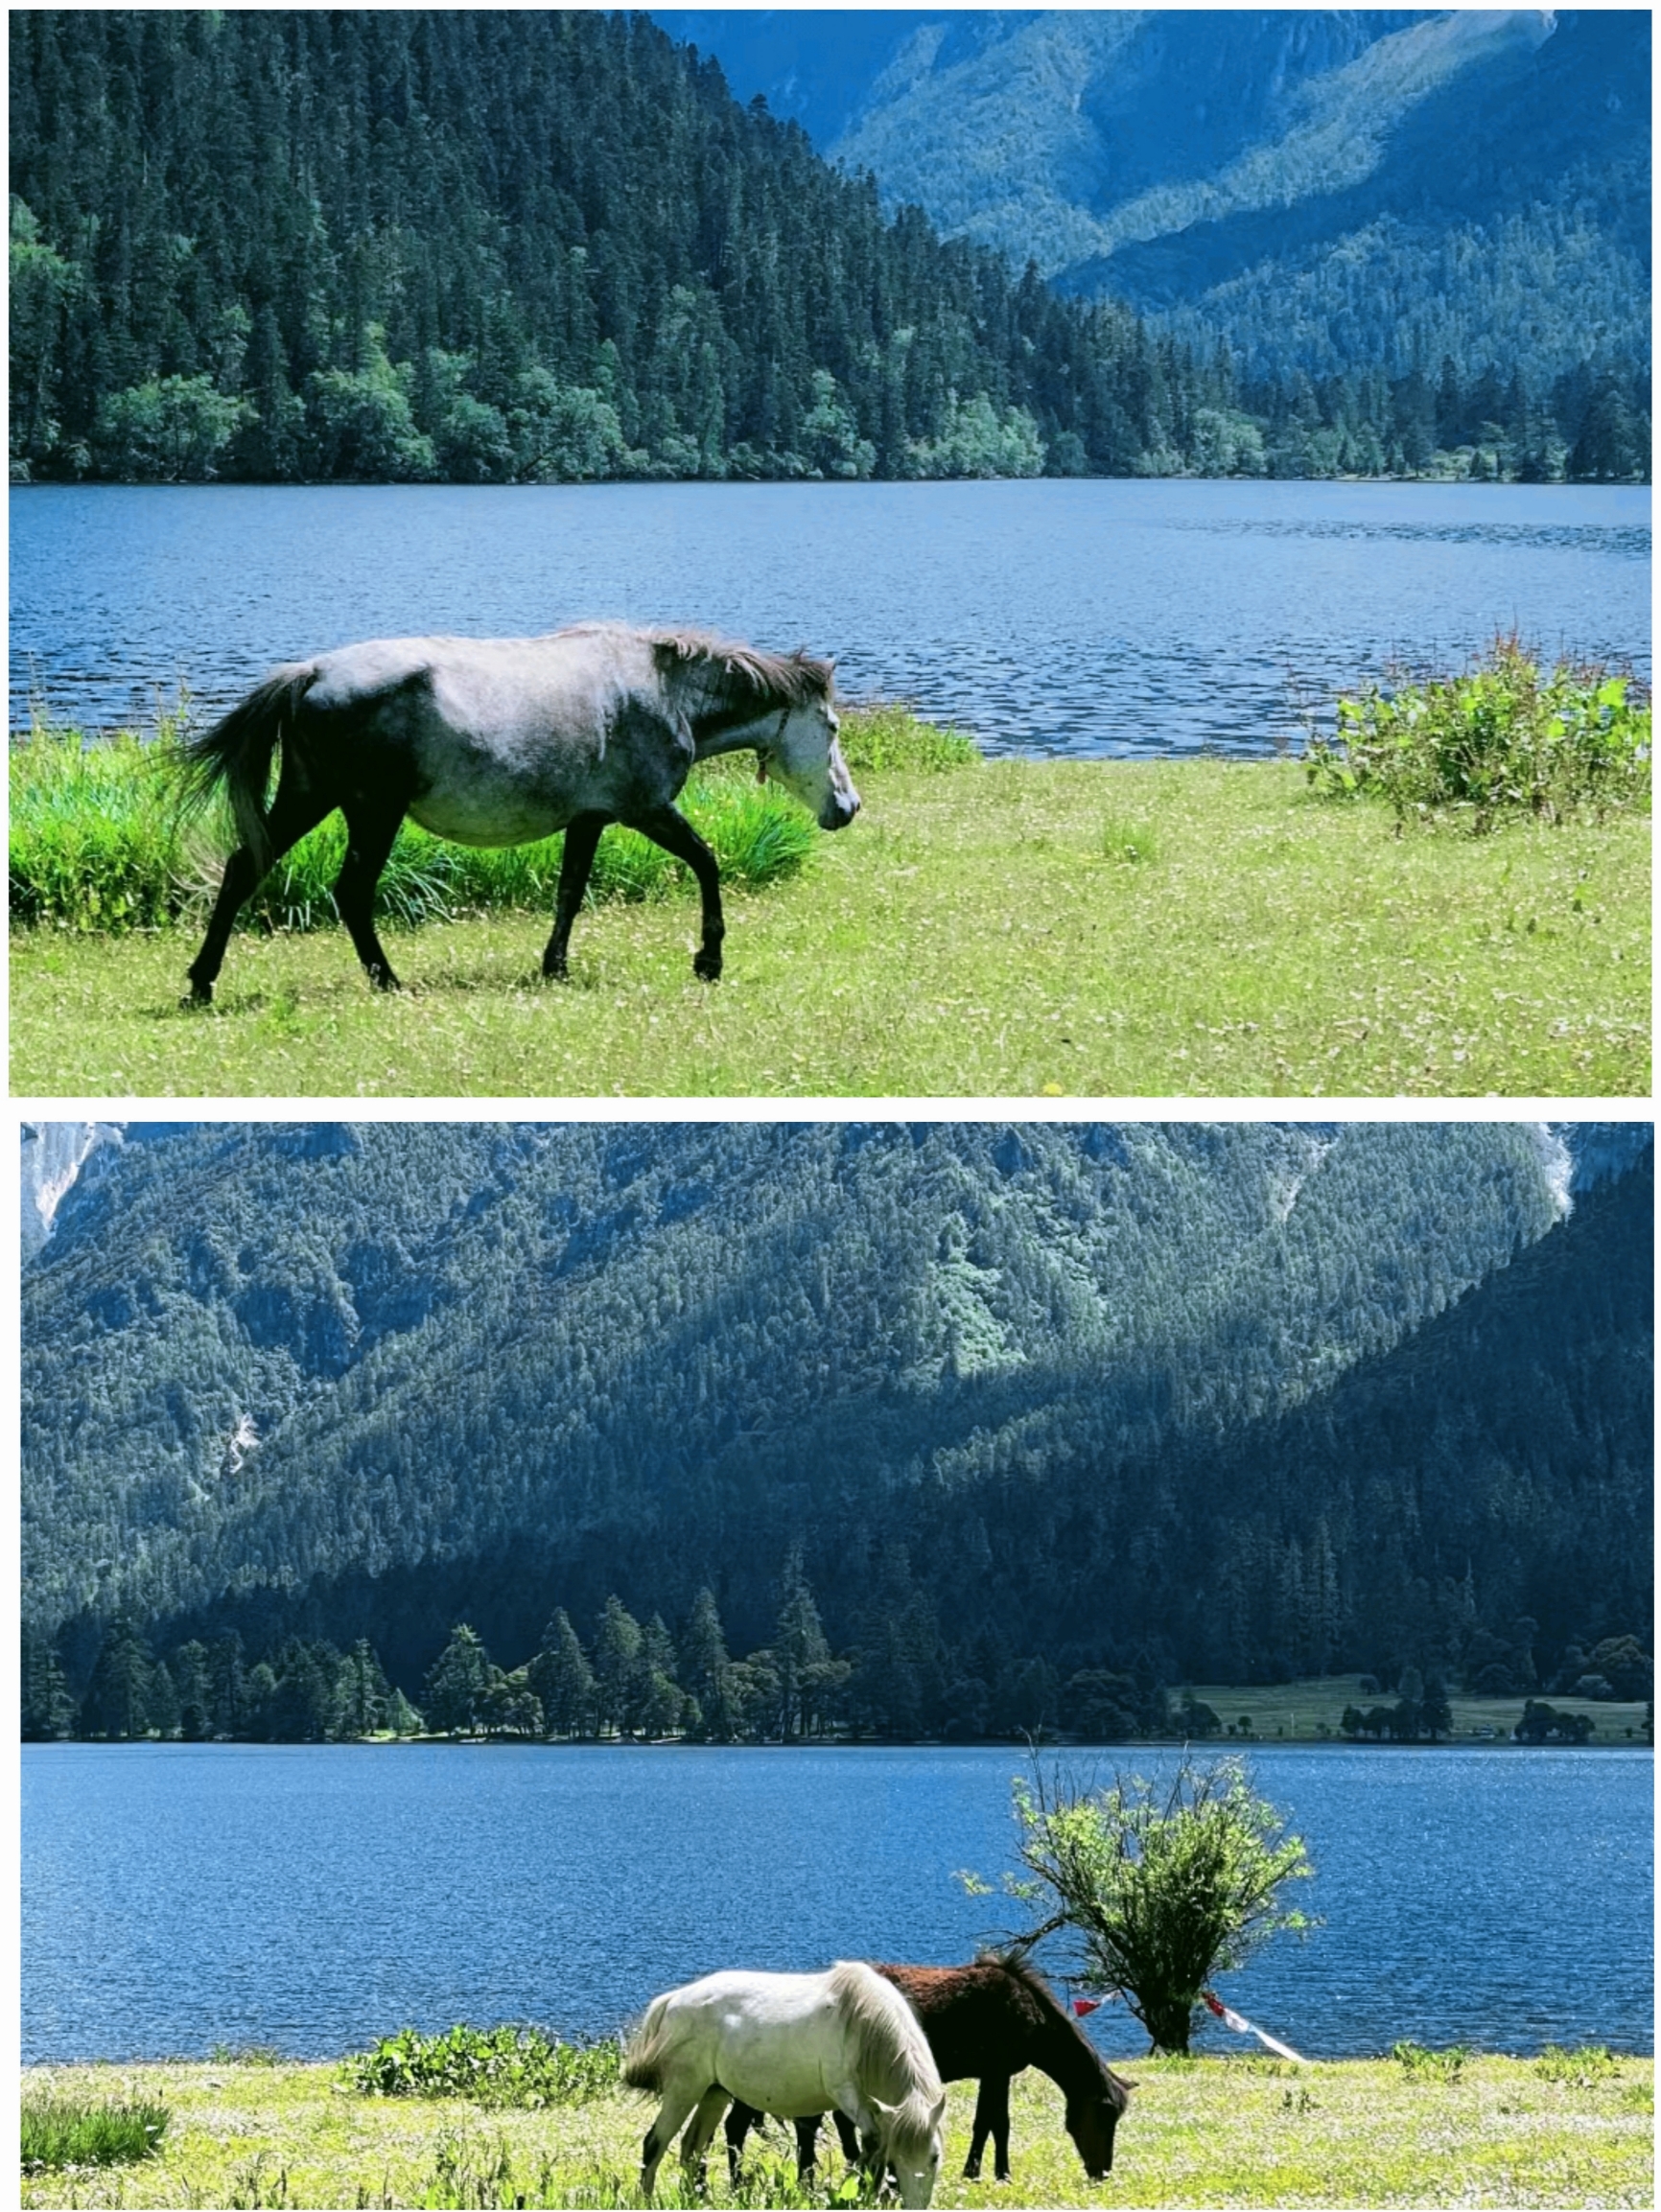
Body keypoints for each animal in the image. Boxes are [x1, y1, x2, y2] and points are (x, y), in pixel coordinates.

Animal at [179, 623, 857, 1004]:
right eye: (830, 726)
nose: (849, 807)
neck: (664, 691)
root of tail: (311, 672)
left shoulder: (590, 819)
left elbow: (570, 892)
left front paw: (554, 966)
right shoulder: (647, 810)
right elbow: (707, 863)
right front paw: (708, 959)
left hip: (309, 796)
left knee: (242, 870)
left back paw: (201, 984)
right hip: (371, 811)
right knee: (351, 892)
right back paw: (387, 981)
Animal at [619, 1964, 942, 2202]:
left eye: (935, 2157)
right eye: (897, 2158)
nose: (915, 2204)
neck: (862, 2022)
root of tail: (673, 1999)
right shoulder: (847, 2096)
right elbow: (873, 2141)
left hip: (714, 2093)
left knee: (692, 2146)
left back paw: (699, 2199)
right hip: (684, 2089)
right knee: (654, 2144)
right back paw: (646, 2199)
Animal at [725, 1955, 1132, 2177]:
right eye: (1105, 2116)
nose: (1102, 2172)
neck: (1026, 2009)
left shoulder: (992, 2074)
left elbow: (988, 2123)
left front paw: (980, 2171)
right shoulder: (997, 2071)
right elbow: (995, 2123)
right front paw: (994, 2173)